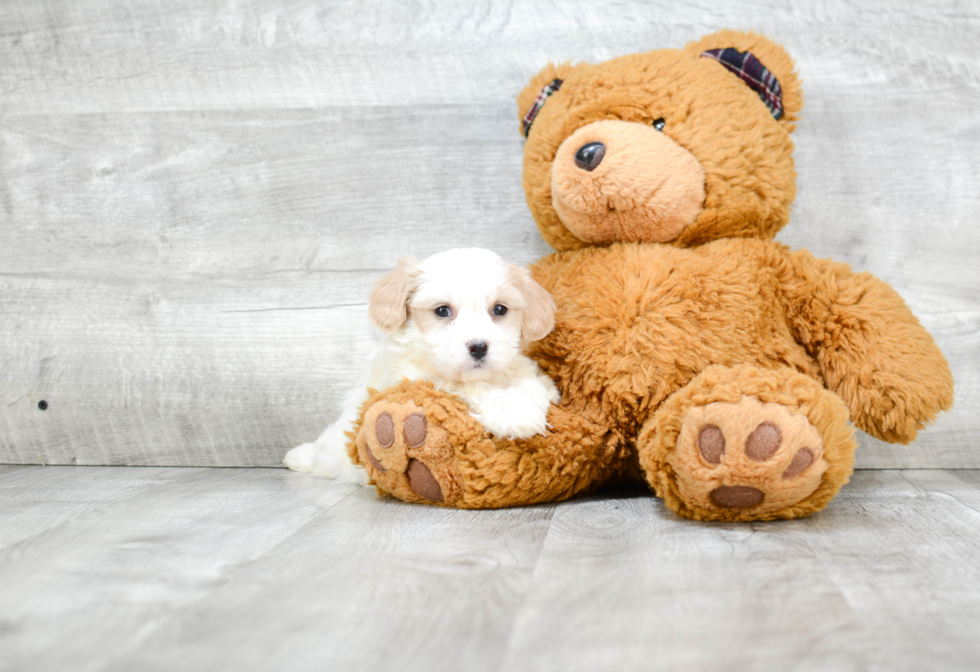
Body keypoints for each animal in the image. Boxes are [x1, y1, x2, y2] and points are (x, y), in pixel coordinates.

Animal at [284, 247, 560, 484]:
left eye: (500, 309)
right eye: (442, 311)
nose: (479, 347)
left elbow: (529, 379)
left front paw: (523, 401)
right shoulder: (413, 377)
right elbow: (459, 385)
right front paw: (512, 410)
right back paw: (300, 456)